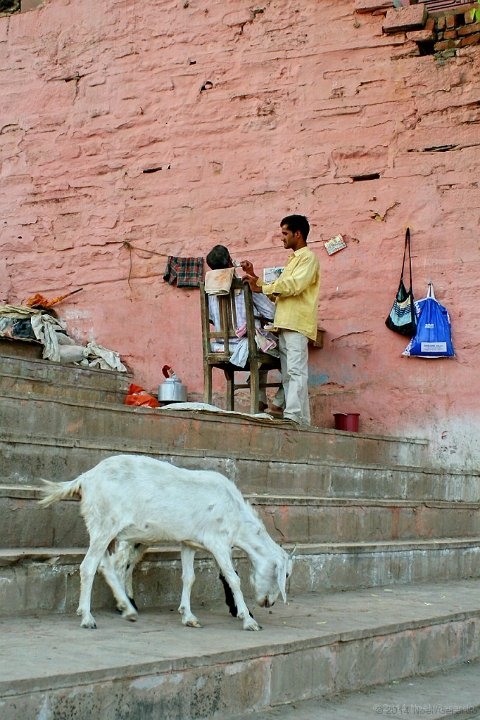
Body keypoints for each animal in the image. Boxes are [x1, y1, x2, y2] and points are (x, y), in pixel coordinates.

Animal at [39, 456, 292, 632]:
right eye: (286, 575)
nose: (268, 603)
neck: (235, 514)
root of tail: (85, 478)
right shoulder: (218, 542)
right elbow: (233, 578)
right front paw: (249, 620)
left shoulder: (189, 543)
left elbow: (189, 577)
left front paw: (188, 617)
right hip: (105, 525)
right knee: (89, 566)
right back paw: (88, 618)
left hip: (104, 529)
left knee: (106, 564)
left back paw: (128, 609)